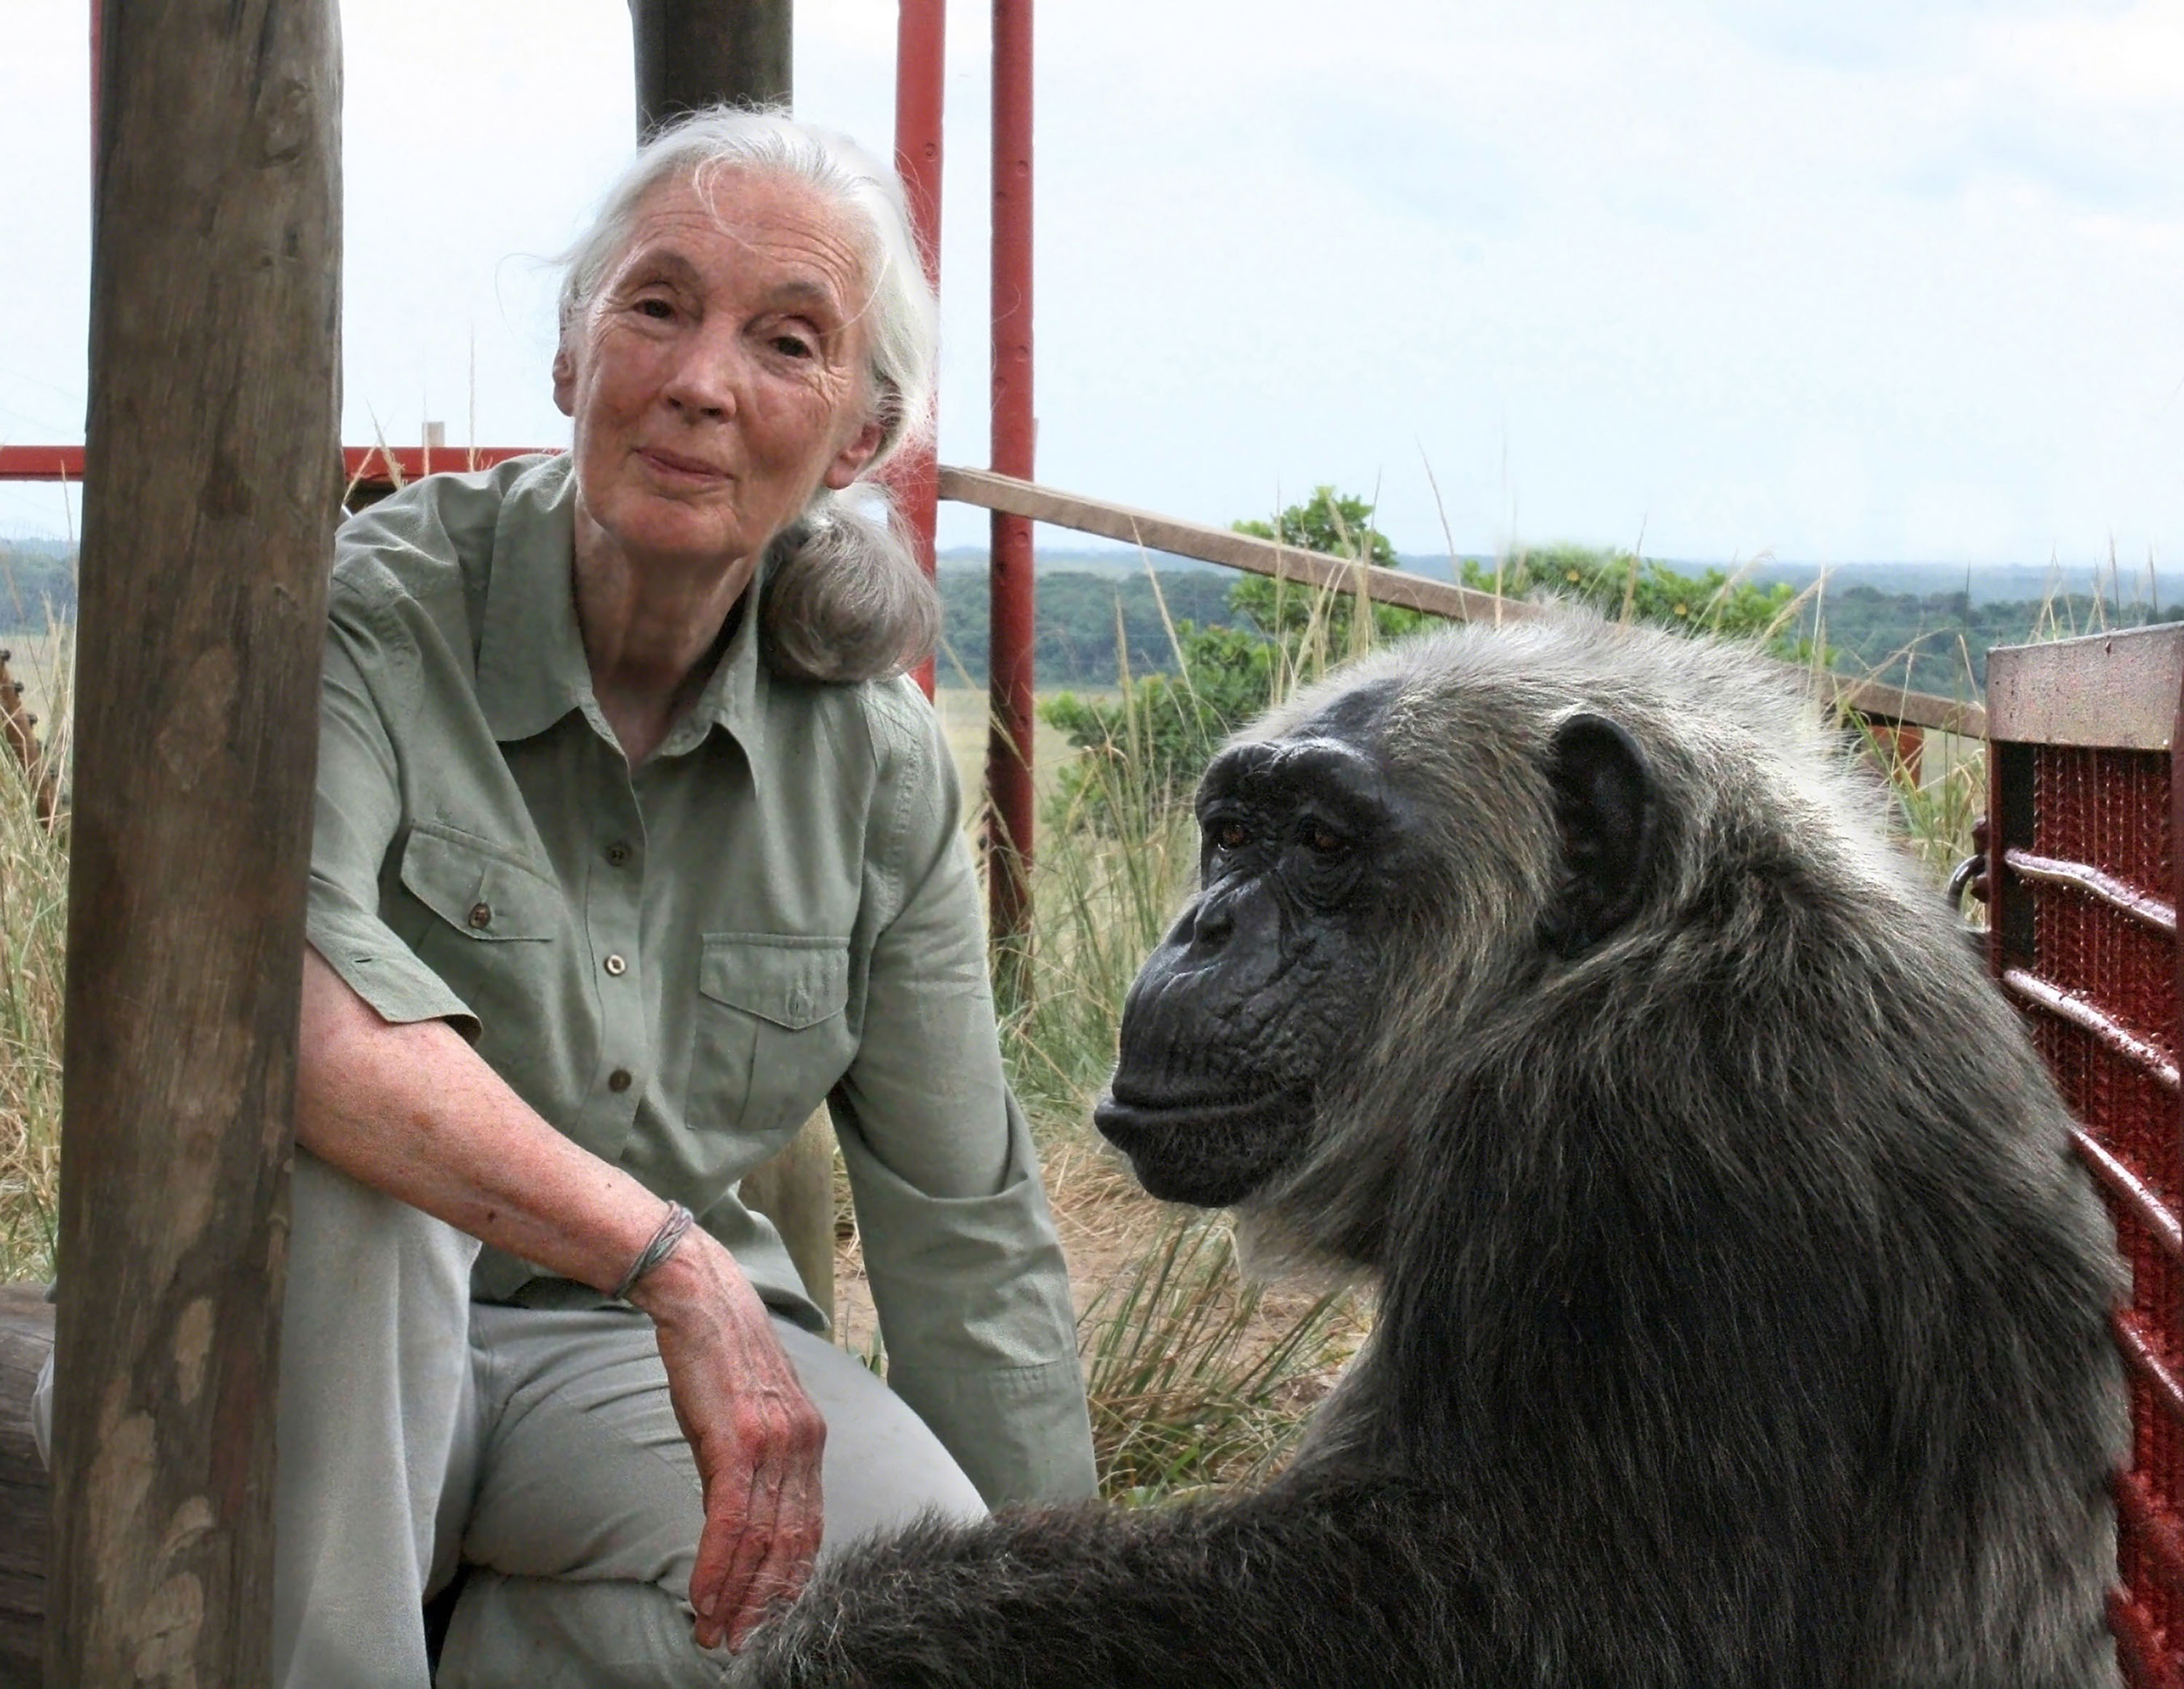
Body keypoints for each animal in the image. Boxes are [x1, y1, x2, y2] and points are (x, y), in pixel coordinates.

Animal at [730, 613, 2129, 1689]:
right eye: (1233, 830)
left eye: (1323, 844)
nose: (1206, 927)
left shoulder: (1645, 1139)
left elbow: (1520, 1617)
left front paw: (857, 1627)